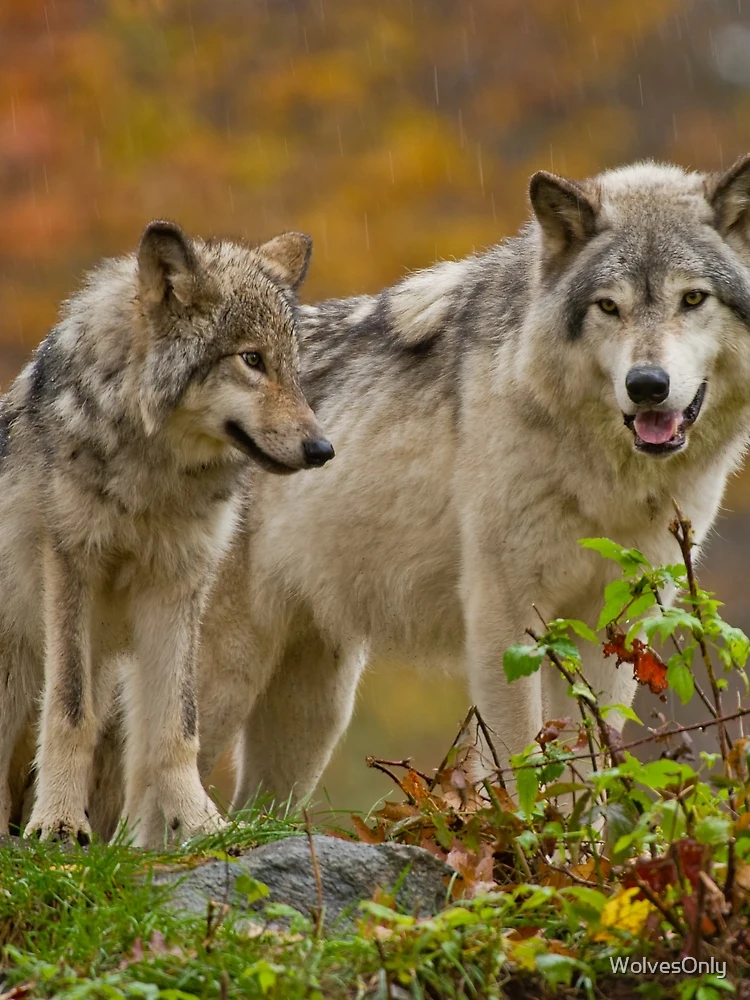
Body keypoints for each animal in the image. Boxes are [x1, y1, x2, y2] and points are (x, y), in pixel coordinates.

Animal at [0, 220, 333, 848]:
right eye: (251, 360)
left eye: (293, 367)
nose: (323, 449)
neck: (154, 477)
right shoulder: (72, 568)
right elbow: (69, 714)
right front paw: (58, 823)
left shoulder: (179, 584)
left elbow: (177, 728)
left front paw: (201, 824)